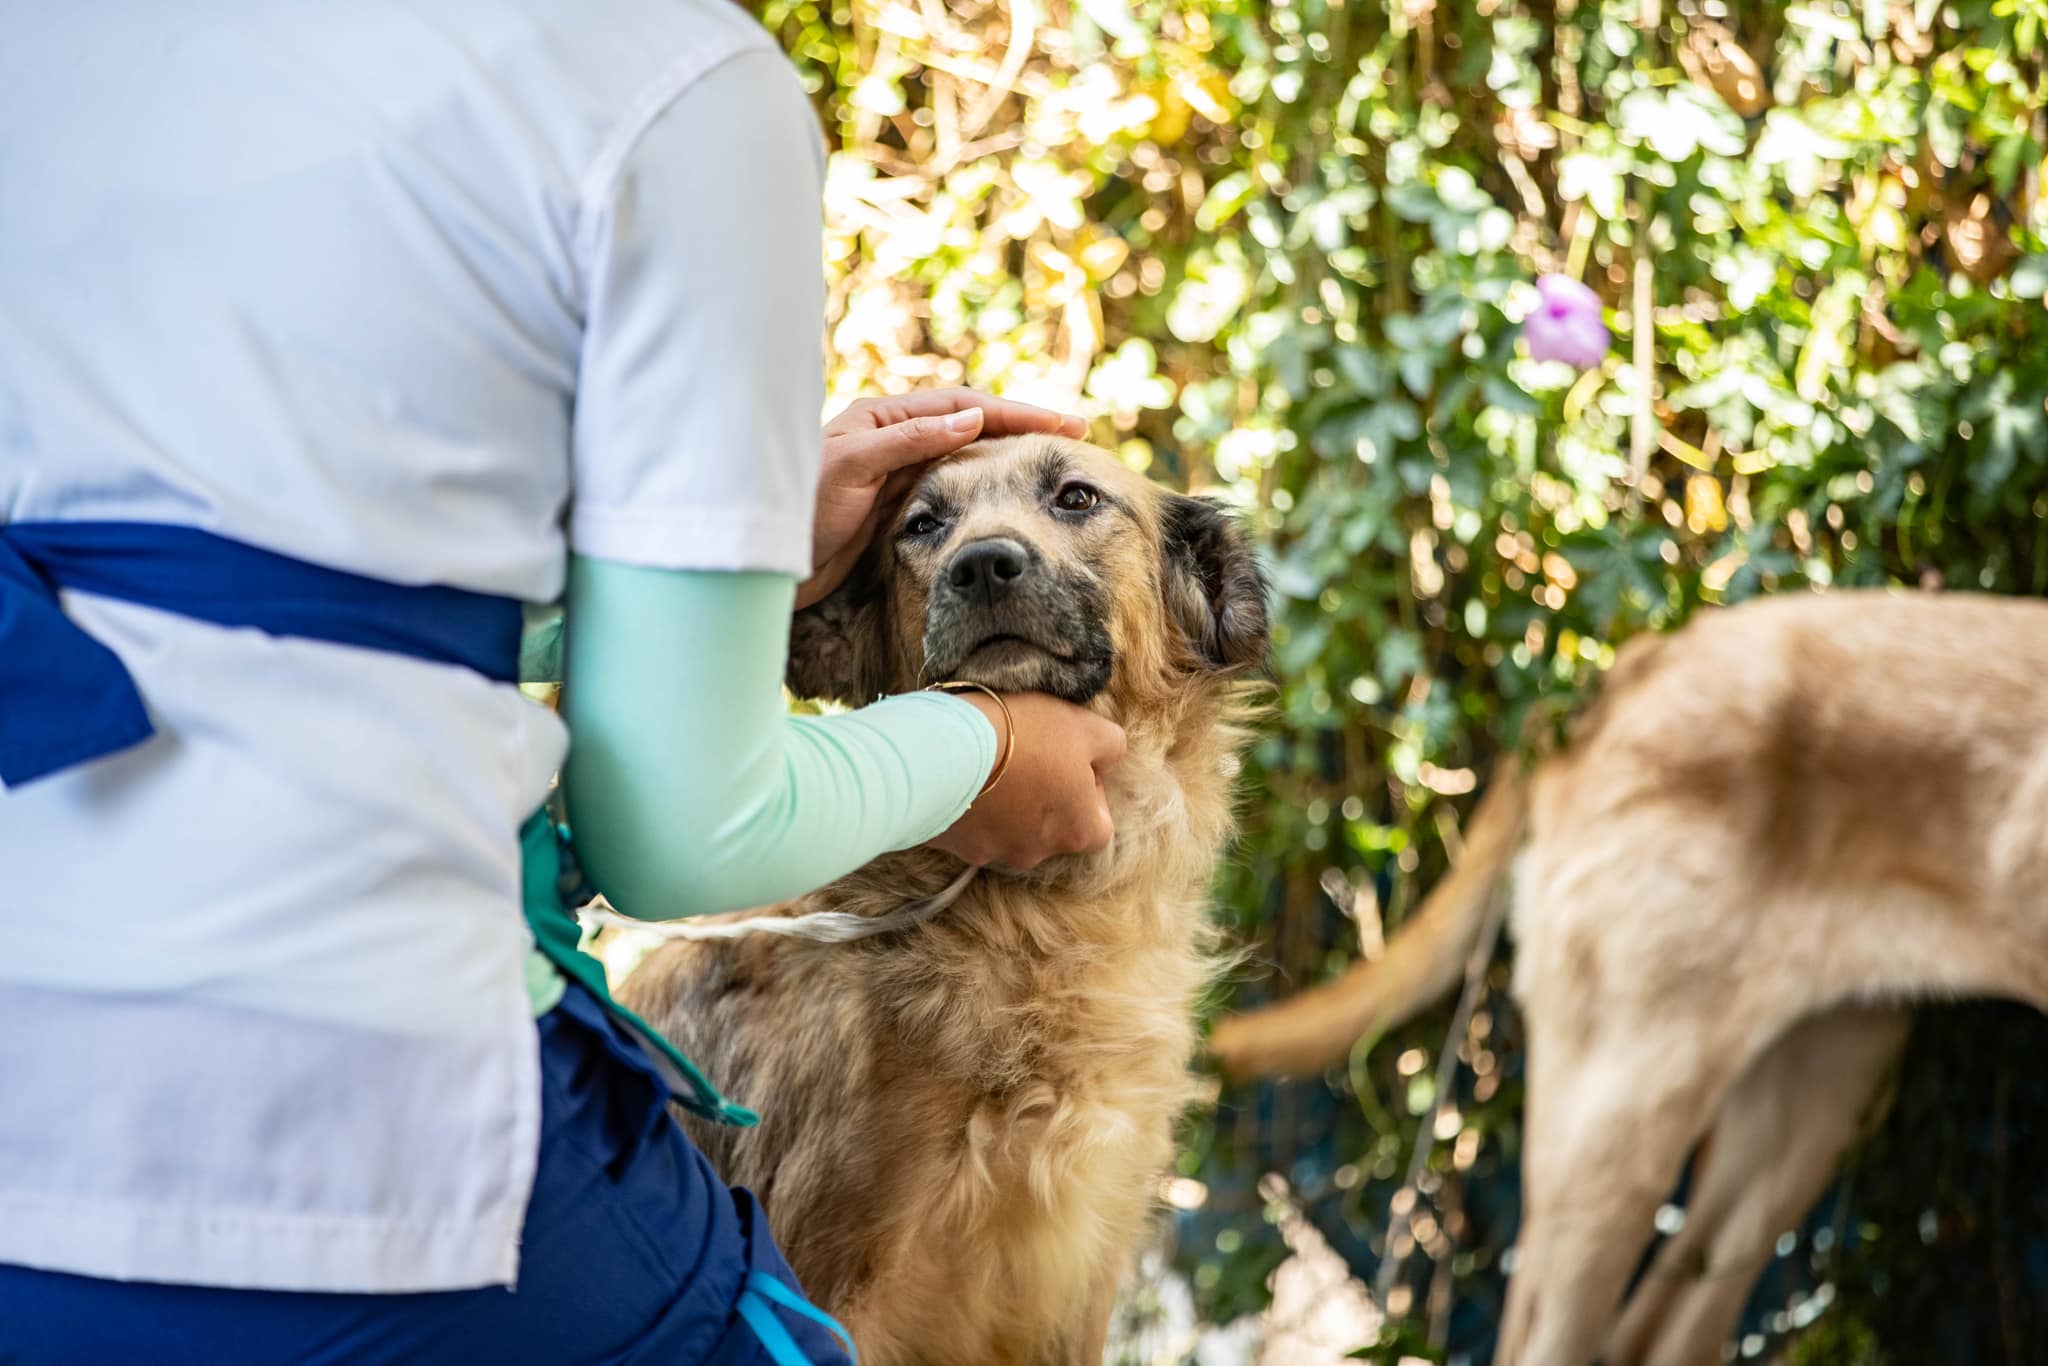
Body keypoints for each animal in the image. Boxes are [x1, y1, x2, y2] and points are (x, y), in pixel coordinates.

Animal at [614, 438, 1269, 1366]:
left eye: (1077, 497)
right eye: (922, 525)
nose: (983, 565)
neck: (1033, 924)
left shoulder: (1076, 1278)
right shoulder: (829, 1276)